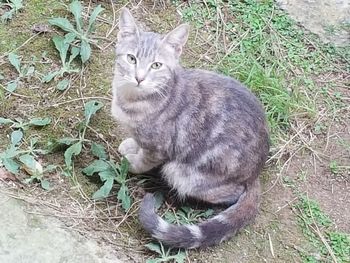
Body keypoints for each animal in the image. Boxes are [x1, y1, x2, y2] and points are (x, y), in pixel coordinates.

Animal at [110, 7, 270, 250]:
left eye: (156, 65)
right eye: (131, 58)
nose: (139, 78)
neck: (131, 99)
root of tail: (255, 175)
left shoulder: (159, 148)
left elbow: (143, 160)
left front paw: (130, 163)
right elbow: (136, 142)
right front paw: (130, 144)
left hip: (183, 173)